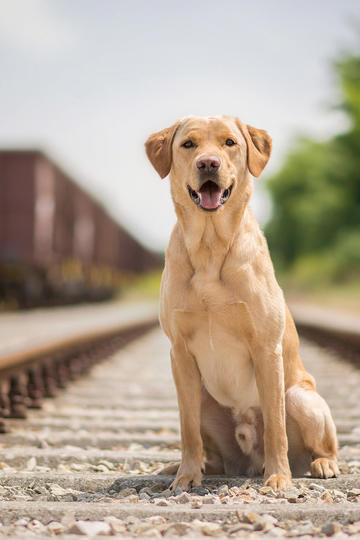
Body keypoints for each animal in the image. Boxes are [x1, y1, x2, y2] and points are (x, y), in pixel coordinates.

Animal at [144, 116, 338, 492]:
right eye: (188, 144)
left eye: (229, 142)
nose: (208, 163)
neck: (210, 247)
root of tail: (247, 462)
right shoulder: (180, 353)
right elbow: (187, 430)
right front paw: (186, 476)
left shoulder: (266, 348)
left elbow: (276, 426)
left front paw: (278, 477)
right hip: (205, 400)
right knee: (209, 451)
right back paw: (177, 468)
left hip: (302, 398)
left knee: (320, 444)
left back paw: (321, 464)